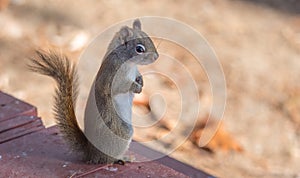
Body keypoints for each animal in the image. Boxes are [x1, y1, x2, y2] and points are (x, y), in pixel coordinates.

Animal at [28, 19, 159, 164]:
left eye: (149, 38)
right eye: (139, 49)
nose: (156, 57)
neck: (128, 63)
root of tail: (91, 153)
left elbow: (137, 76)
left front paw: (141, 81)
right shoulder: (112, 74)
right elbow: (120, 87)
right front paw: (135, 87)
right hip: (120, 132)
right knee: (107, 159)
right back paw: (123, 158)